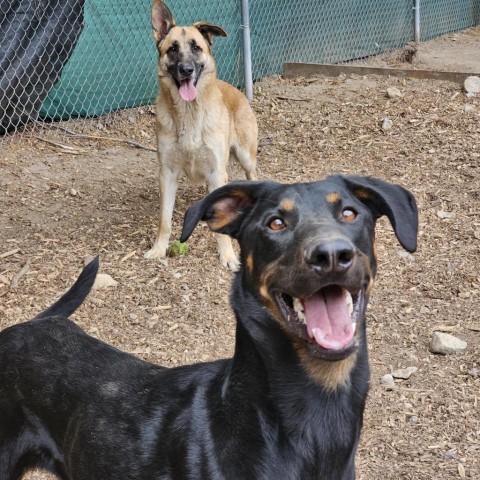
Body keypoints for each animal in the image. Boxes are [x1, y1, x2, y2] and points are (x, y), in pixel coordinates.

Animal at [145, 0, 258, 270]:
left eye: (196, 47)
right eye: (172, 49)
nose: (186, 70)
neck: (189, 114)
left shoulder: (217, 171)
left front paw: (228, 256)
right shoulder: (167, 173)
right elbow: (164, 219)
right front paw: (159, 248)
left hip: (247, 158)